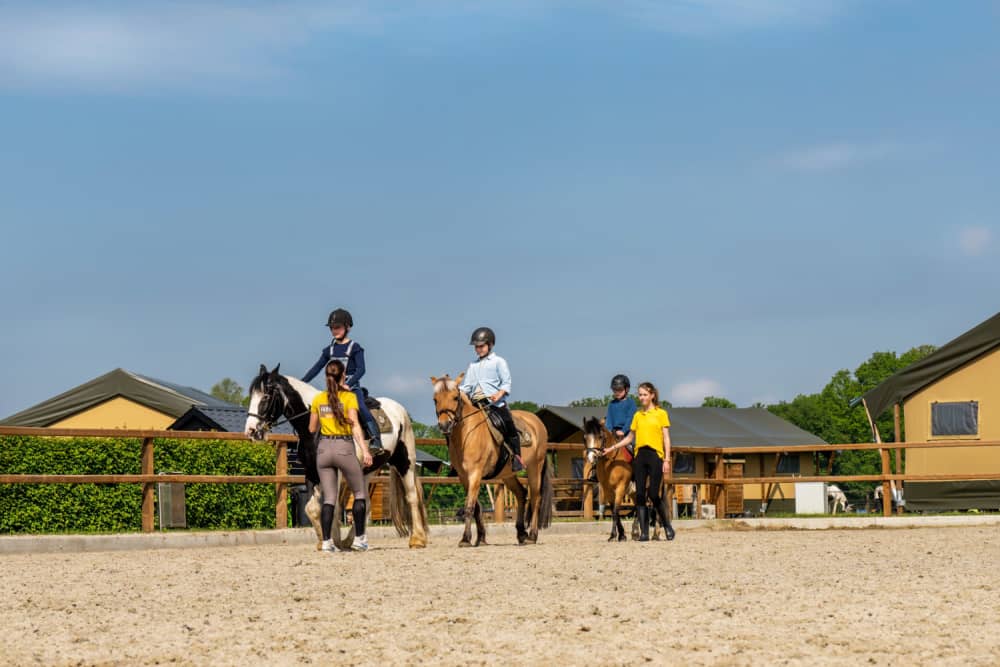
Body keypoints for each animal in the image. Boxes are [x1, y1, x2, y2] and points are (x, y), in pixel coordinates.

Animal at [247, 366, 430, 548]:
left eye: (266, 396)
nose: (251, 431)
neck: (315, 429)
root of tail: (400, 410)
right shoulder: (311, 472)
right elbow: (312, 509)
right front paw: (324, 540)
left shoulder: (337, 472)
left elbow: (333, 507)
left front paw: (333, 540)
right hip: (367, 470)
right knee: (365, 502)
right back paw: (351, 540)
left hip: (405, 462)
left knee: (412, 497)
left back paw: (417, 539)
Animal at [430, 376, 556, 548]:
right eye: (435, 399)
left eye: (455, 397)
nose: (444, 425)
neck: (467, 434)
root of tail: (536, 421)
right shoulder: (464, 477)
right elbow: (476, 507)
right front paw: (480, 538)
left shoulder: (475, 474)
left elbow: (469, 506)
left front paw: (465, 539)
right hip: (508, 474)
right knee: (521, 494)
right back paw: (521, 534)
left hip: (534, 468)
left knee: (536, 498)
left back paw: (532, 536)